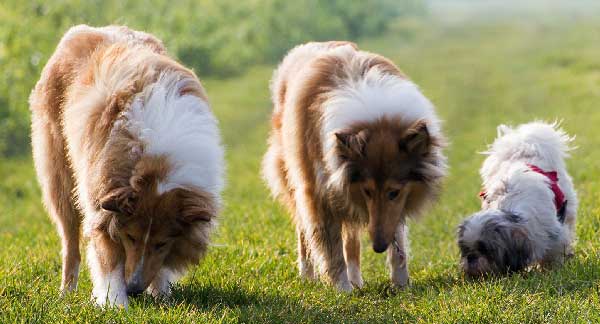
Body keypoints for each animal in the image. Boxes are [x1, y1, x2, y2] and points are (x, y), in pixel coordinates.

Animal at [29, 25, 224, 306]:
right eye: (130, 236)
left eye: (162, 243)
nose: (134, 289)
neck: (157, 161)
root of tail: (81, 30)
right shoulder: (100, 201)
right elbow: (108, 260)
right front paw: (116, 304)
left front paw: (162, 295)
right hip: (61, 178)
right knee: (70, 243)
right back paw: (66, 292)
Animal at [262, 41, 446, 292]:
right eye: (367, 190)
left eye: (394, 192)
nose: (378, 246)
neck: (377, 117)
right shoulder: (320, 194)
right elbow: (331, 249)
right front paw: (342, 290)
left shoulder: (389, 206)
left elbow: (397, 246)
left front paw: (401, 285)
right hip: (297, 181)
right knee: (304, 234)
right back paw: (308, 276)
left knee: (351, 241)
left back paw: (356, 279)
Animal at [460, 121, 576, 276]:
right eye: (465, 250)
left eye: (486, 250)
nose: (471, 257)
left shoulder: (554, 235)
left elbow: (553, 254)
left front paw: (550, 269)